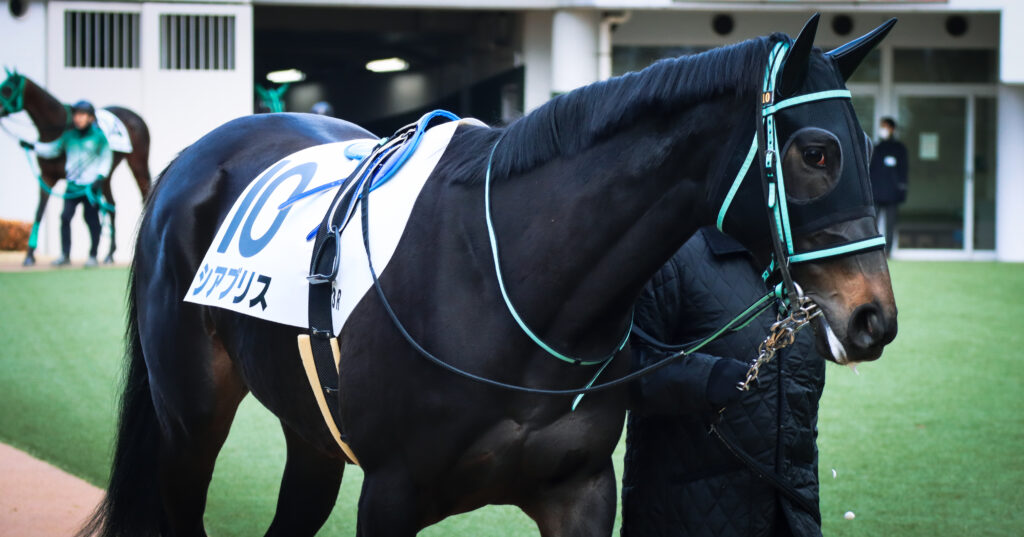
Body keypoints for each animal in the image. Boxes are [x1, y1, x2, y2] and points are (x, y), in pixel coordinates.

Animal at [0, 70, 151, 265]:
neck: (58, 127)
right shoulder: (47, 177)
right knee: (111, 205)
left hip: (137, 164)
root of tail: (135, 115)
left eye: (7, 89)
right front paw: (30, 255)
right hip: (108, 174)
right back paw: (109, 254)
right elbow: (40, 212)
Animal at [83, 15, 898, 537]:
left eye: (868, 147)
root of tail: (195, 157)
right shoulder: (391, 495)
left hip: (309, 431)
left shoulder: (580, 491)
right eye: (818, 151)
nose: (874, 317)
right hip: (189, 420)